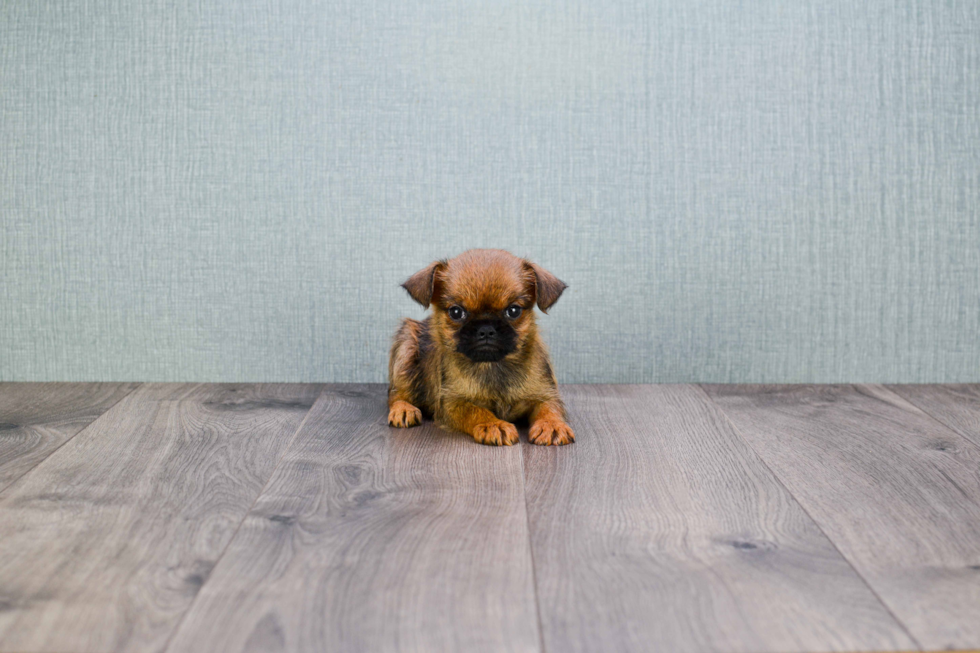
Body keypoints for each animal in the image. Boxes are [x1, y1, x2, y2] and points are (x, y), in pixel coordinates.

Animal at [386, 247, 576, 446]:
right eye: (456, 312)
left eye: (513, 311)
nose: (486, 329)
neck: (492, 365)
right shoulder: (453, 403)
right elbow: (476, 411)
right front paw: (493, 424)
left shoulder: (545, 394)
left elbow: (549, 408)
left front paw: (551, 425)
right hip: (406, 346)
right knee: (395, 393)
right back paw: (403, 409)